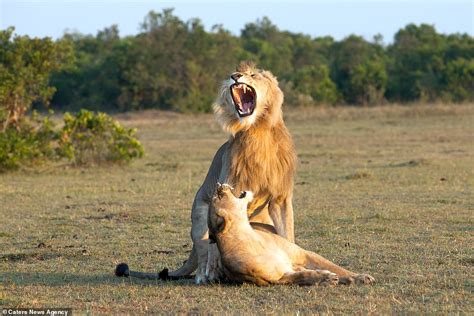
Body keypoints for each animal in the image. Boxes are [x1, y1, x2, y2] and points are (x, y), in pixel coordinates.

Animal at [207, 183, 374, 286]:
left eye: (217, 196)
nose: (218, 185)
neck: (251, 239)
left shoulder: (304, 254)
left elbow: (336, 267)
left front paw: (360, 277)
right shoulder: (277, 278)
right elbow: (301, 276)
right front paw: (325, 278)